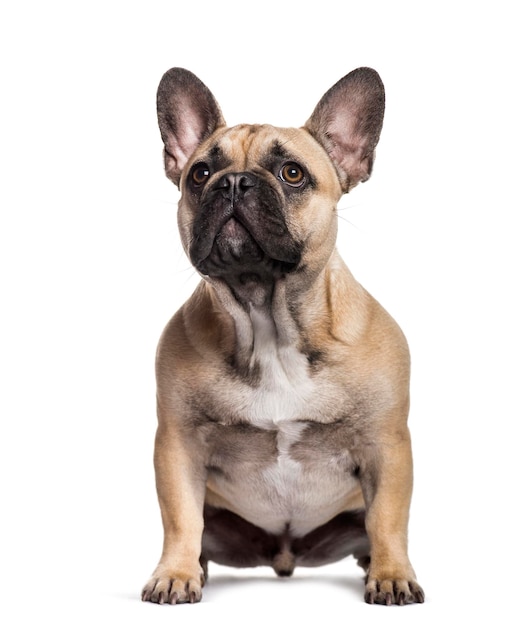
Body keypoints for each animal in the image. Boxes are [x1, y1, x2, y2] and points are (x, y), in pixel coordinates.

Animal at [139, 66, 420, 604]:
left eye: (292, 174)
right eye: (199, 174)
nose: (233, 182)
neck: (266, 321)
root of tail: (285, 556)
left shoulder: (386, 445)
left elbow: (389, 518)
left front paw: (393, 574)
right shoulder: (178, 444)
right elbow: (180, 518)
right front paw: (175, 574)